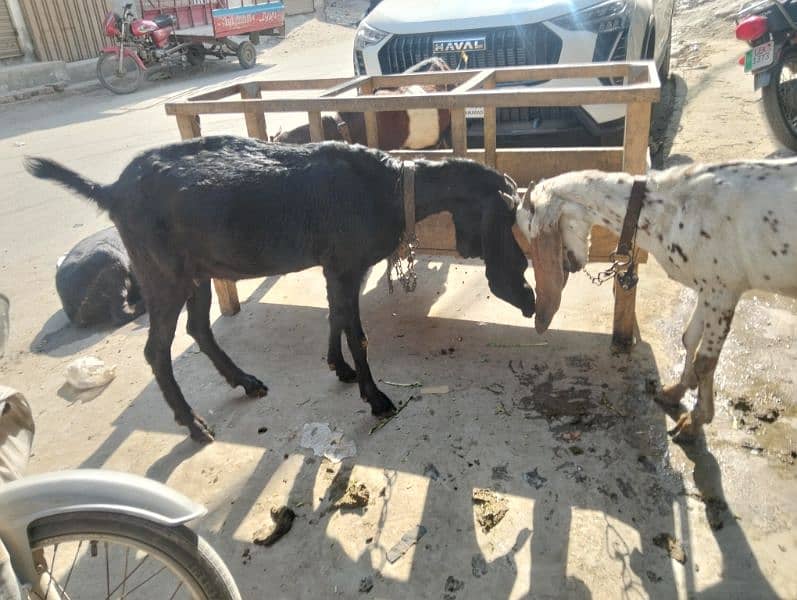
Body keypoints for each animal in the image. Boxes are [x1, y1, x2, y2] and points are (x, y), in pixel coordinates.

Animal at [26, 138, 536, 442]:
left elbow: (335, 317)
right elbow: (357, 332)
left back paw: (246, 382)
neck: (391, 187)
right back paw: (193, 424)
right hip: (162, 274)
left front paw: (339, 369)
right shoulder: (346, 265)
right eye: (511, 227)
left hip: (196, 272)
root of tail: (111, 190)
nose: (530, 303)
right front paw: (375, 398)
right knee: (156, 349)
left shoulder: (338, 268)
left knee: (198, 329)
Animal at [516, 162, 796, 438]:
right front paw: (674, 392)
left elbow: (705, 362)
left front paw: (694, 421)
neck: (670, 207)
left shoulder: (724, 289)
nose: (569, 265)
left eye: (530, 230)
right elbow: (688, 338)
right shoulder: (706, 287)